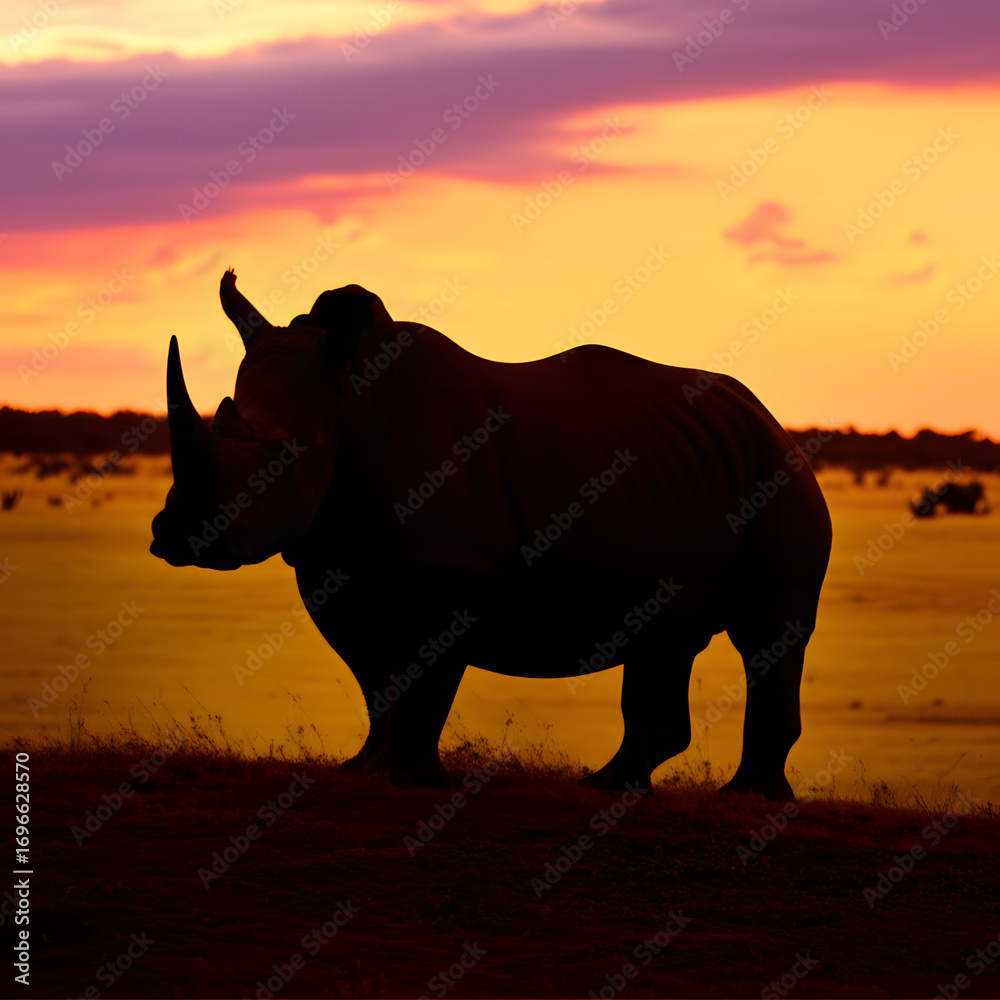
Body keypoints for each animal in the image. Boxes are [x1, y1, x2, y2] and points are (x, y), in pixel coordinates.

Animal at [150, 270, 832, 798]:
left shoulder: (454, 572)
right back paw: (624, 785)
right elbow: (374, 678)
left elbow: (423, 683)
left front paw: (417, 781)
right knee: (669, 630)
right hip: (695, 468)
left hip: (781, 477)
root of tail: (769, 417)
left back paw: (740, 797)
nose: (182, 536)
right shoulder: (330, 562)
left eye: (287, 460)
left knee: (767, 633)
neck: (351, 405)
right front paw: (362, 769)